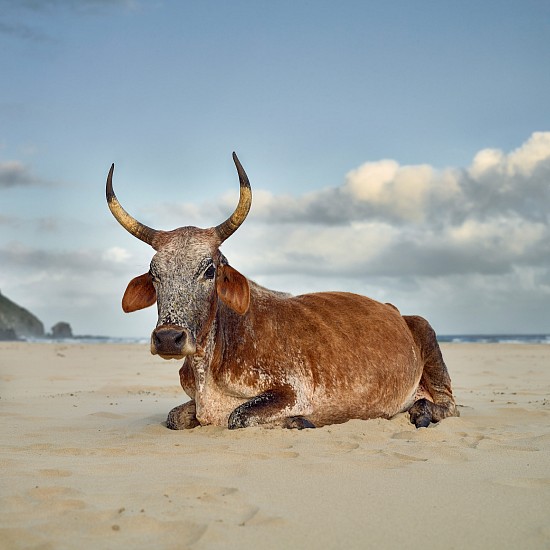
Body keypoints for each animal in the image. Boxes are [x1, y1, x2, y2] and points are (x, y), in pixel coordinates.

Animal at [105, 154, 460, 432]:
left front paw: (300, 421)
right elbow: (174, 417)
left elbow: (237, 417)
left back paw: (422, 412)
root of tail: (396, 310)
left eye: (210, 270)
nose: (168, 338)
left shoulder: (292, 392)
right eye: (154, 274)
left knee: (449, 405)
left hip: (427, 334)